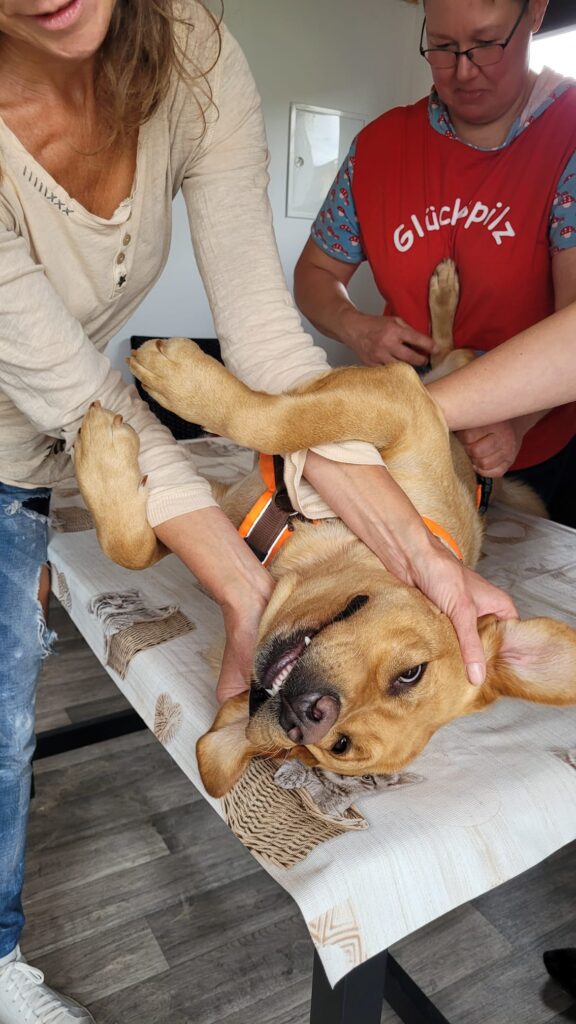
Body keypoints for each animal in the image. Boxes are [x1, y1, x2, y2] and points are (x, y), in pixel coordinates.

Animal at [75, 260, 573, 794]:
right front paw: (177, 387)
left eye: (339, 747)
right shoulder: (403, 406)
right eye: (411, 673)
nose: (311, 716)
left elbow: (140, 542)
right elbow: (279, 422)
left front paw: (106, 452)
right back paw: (443, 294)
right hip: (441, 382)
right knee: (440, 354)